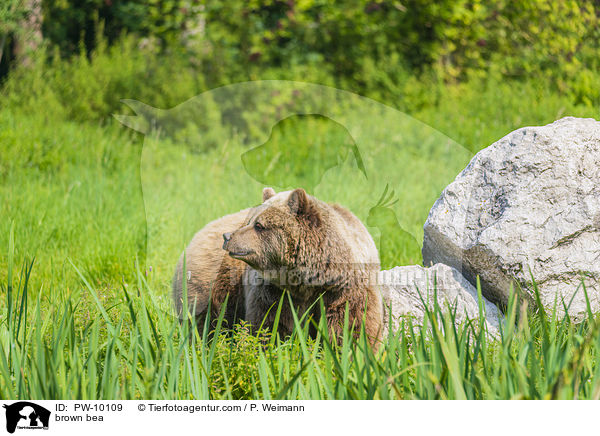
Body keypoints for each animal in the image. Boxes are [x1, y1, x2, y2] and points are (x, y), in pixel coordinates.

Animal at [171, 187, 382, 348]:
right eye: (249, 221)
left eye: (259, 225)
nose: (227, 236)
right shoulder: (274, 293)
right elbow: (271, 326)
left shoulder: (341, 291)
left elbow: (350, 327)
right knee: (204, 325)